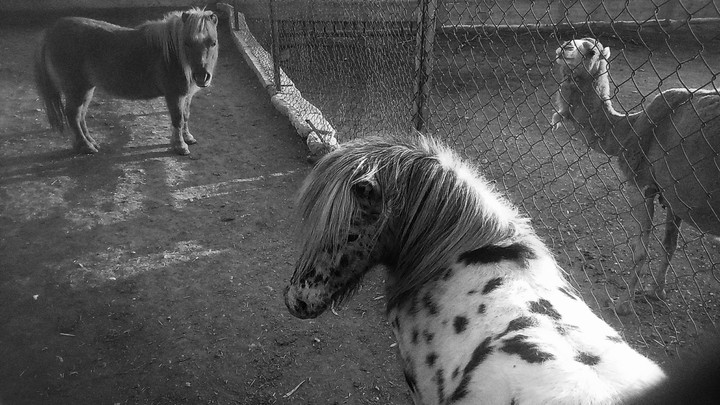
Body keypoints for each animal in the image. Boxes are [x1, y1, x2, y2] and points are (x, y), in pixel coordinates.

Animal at [34, 7, 218, 155]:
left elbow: (185, 116)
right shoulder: (174, 94)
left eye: (213, 43)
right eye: (186, 43)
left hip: (86, 89)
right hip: (77, 89)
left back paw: (90, 142)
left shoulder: (186, 95)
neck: (173, 54)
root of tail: (51, 32)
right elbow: (178, 119)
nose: (201, 76)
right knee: (73, 115)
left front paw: (187, 138)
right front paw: (180, 146)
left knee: (80, 115)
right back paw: (86, 146)